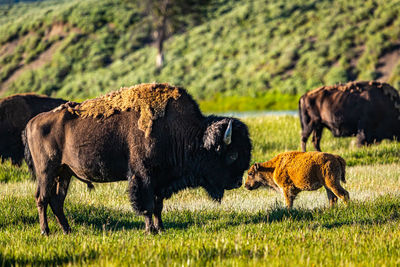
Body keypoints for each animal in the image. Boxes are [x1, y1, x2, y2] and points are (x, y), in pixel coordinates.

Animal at [22, 83, 250, 234]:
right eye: (232, 154)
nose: (238, 182)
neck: (179, 131)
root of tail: (32, 122)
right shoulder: (143, 176)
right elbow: (147, 205)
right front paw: (151, 230)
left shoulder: (160, 180)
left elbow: (158, 205)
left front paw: (161, 228)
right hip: (47, 171)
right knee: (42, 198)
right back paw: (46, 232)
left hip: (64, 173)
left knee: (57, 201)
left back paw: (67, 230)